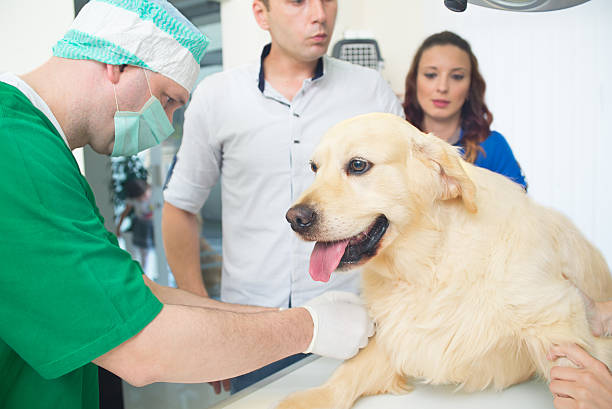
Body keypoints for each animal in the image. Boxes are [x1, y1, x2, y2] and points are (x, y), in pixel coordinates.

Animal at [280, 112, 608, 408]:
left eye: (358, 165)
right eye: (314, 168)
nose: (295, 218)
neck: (429, 262)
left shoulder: (558, 318)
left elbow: (574, 367)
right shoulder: (395, 337)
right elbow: (346, 375)